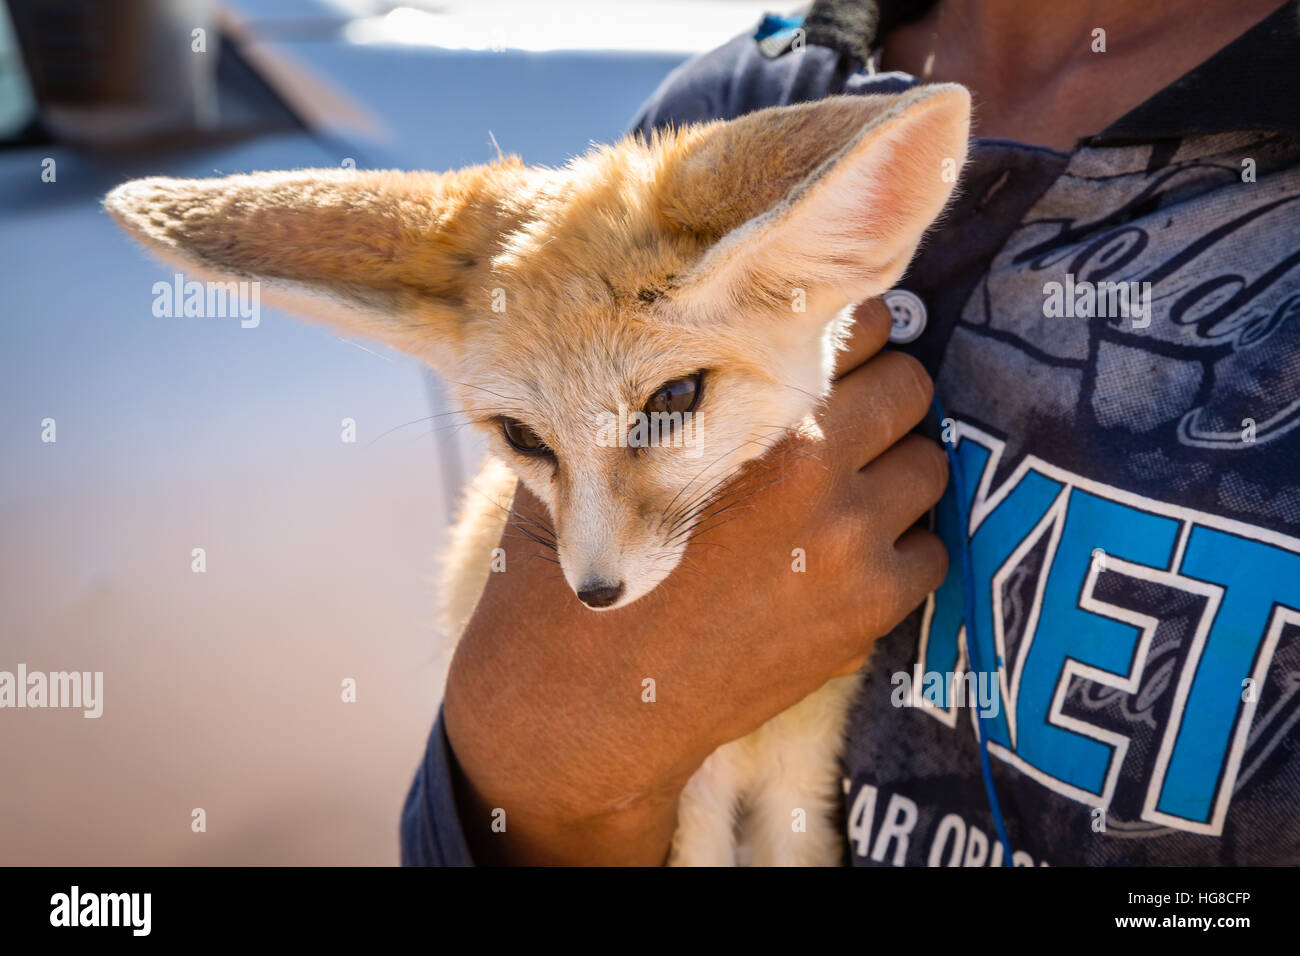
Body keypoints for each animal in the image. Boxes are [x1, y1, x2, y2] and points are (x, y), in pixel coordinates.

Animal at [106, 83, 972, 868]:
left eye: (674, 400)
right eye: (522, 436)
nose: (595, 594)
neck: (749, 739)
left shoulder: (801, 779)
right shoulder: (690, 799)